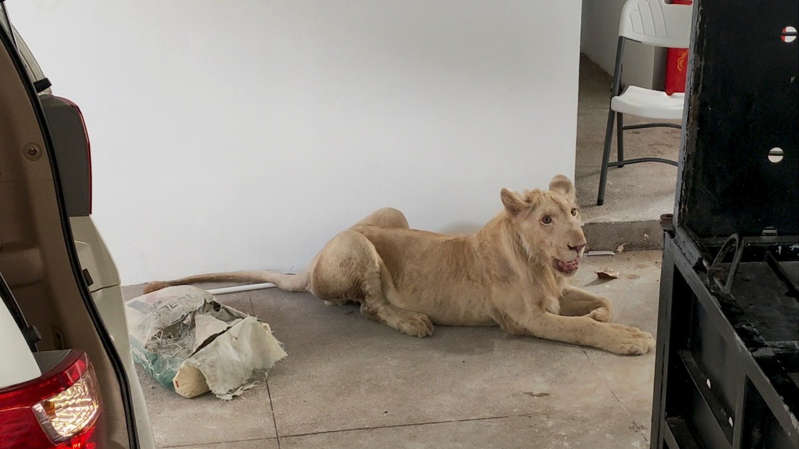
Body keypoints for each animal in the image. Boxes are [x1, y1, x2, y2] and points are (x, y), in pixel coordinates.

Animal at [144, 175, 654, 355]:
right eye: (546, 219)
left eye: (574, 212)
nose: (581, 245)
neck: (539, 263)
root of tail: (312, 260)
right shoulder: (524, 318)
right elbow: (580, 328)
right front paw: (629, 339)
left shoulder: (557, 292)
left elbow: (601, 305)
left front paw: (602, 315)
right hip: (357, 244)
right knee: (369, 306)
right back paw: (413, 322)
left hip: (392, 213)